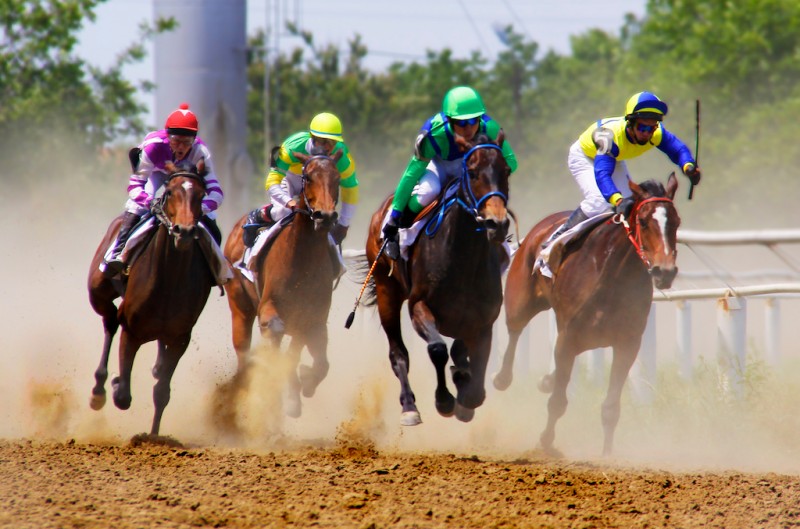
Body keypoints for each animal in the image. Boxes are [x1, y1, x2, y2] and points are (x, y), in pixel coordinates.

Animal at [88, 167, 216, 436]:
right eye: (170, 192)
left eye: (201, 195)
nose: (184, 231)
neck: (169, 280)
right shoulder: (131, 330)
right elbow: (123, 396)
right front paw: (116, 382)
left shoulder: (180, 338)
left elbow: (162, 392)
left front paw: (154, 436)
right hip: (98, 291)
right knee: (110, 320)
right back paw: (99, 389)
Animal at [223, 148, 342, 416]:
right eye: (308, 177)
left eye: (337, 178)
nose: (325, 216)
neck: (303, 258)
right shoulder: (268, 306)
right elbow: (276, 332)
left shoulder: (312, 317)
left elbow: (315, 360)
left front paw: (301, 386)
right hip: (240, 305)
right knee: (242, 349)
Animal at [362, 132, 512, 424]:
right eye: (473, 172)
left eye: (506, 170)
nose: (496, 224)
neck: (463, 261)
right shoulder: (419, 306)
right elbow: (438, 350)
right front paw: (444, 400)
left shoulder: (484, 320)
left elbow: (474, 375)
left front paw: (465, 393)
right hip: (387, 291)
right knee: (398, 353)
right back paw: (409, 406)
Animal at [494, 173, 680, 454]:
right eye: (644, 221)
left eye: (676, 222)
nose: (664, 271)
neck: (612, 274)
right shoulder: (568, 338)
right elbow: (558, 402)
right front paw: (545, 442)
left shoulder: (627, 344)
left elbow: (611, 407)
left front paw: (607, 453)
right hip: (521, 301)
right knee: (514, 330)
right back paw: (502, 377)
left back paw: (546, 380)